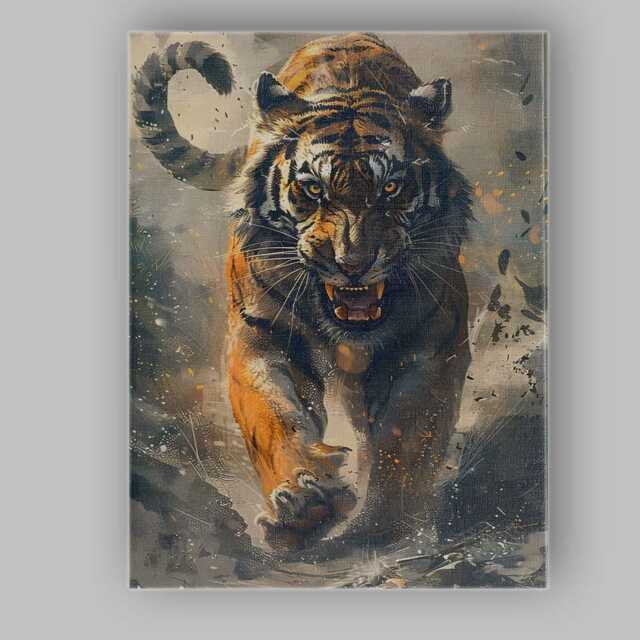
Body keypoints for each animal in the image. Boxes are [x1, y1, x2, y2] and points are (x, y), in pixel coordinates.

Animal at [133, 32, 472, 550]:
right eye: (313, 190)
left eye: (391, 188)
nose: (352, 264)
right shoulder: (261, 336)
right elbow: (274, 417)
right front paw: (306, 503)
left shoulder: (432, 346)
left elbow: (408, 441)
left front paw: (388, 525)